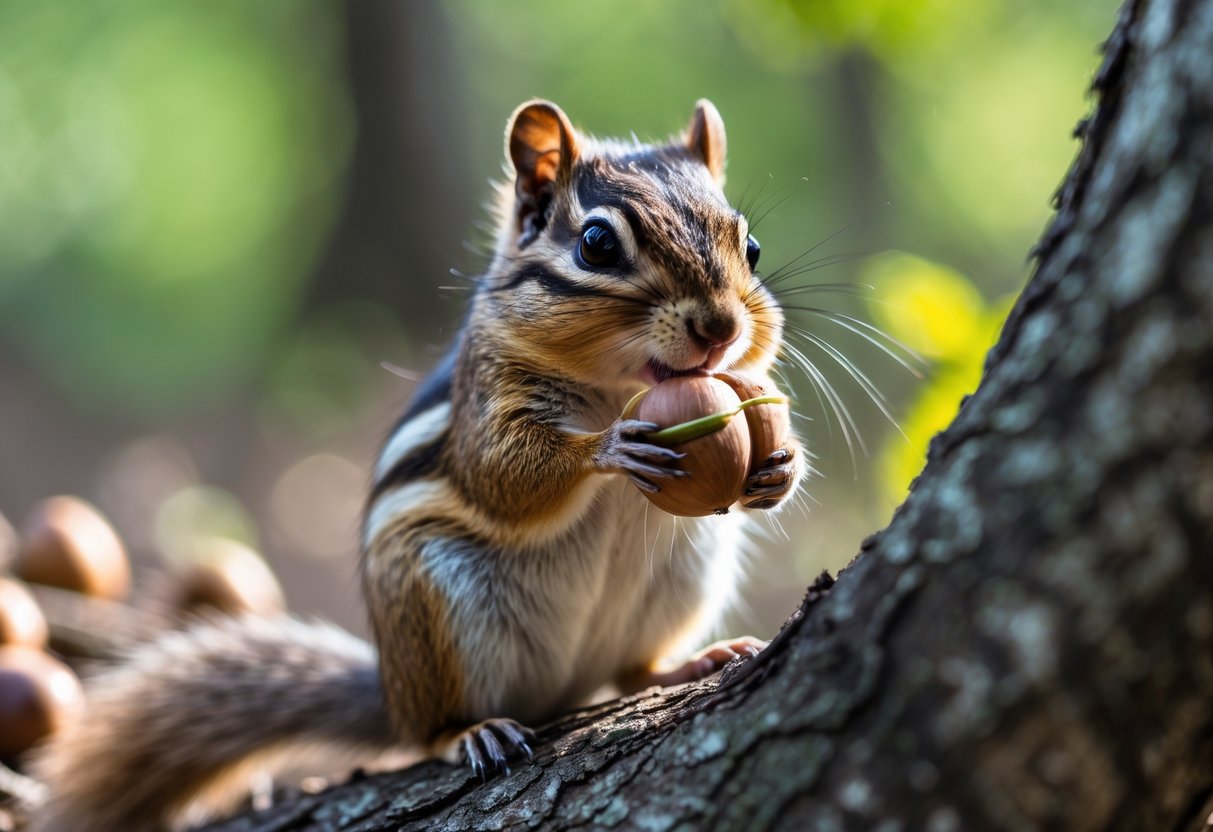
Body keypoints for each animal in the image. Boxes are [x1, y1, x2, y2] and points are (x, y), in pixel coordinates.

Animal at [29, 98, 804, 832]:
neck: (619, 387)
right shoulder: (488, 399)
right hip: (432, 603)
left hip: (684, 576)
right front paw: (609, 446)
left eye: (752, 246)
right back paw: (472, 732)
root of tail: (393, 694)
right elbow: (502, 475)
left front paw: (781, 464)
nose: (719, 328)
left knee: (630, 670)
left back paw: (694, 659)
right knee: (429, 730)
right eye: (596, 244)